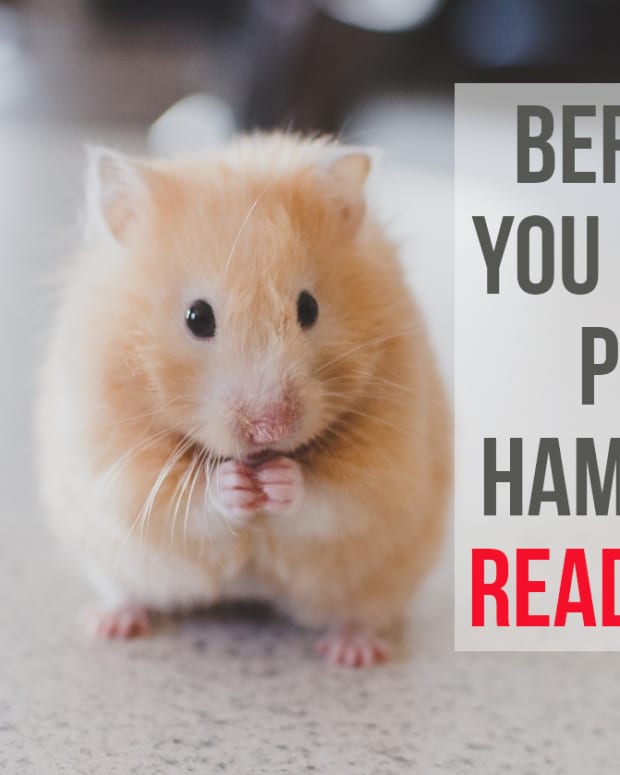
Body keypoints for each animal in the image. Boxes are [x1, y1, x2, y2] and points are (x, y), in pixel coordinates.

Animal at [36, 132, 450, 667]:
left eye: (309, 308)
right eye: (197, 317)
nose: (270, 428)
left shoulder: (387, 468)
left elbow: (333, 499)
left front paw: (279, 481)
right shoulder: (115, 463)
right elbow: (184, 500)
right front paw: (234, 484)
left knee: (359, 613)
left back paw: (353, 652)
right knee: (128, 592)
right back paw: (109, 624)